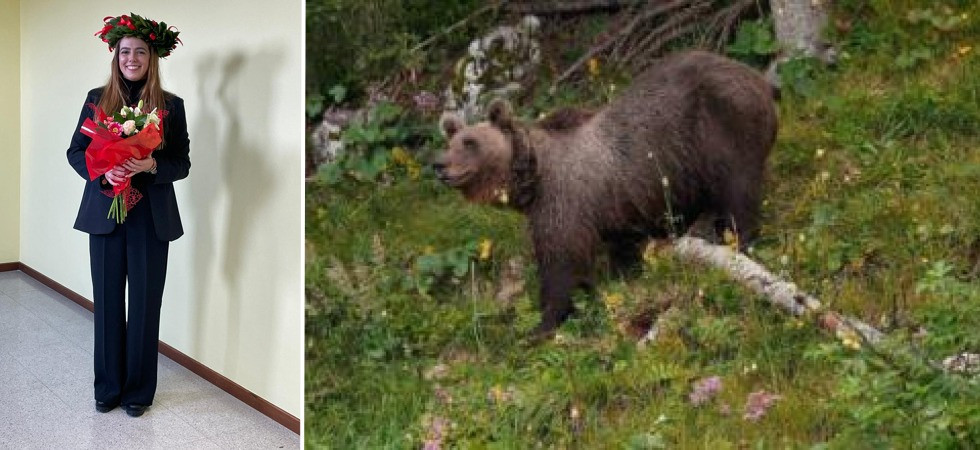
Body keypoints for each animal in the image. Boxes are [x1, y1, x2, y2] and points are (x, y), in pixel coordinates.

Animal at [433, 50, 777, 337]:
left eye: (470, 142)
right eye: (451, 141)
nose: (439, 164)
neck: (533, 177)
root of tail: (758, 78)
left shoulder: (563, 201)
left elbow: (561, 262)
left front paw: (543, 324)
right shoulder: (615, 206)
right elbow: (620, 249)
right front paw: (621, 277)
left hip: (722, 129)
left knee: (737, 187)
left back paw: (735, 239)